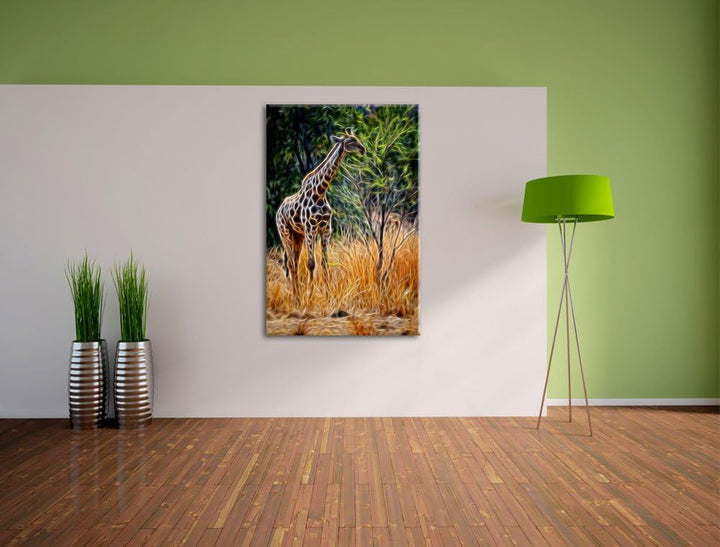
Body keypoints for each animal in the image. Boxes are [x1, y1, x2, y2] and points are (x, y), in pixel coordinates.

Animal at [275, 128, 365, 295]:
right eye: (350, 142)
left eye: (356, 139)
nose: (363, 149)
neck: (320, 192)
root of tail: (279, 210)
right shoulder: (310, 229)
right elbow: (311, 263)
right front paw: (311, 294)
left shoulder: (325, 229)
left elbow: (324, 262)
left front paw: (328, 292)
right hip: (285, 234)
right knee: (290, 263)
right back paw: (296, 294)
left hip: (298, 236)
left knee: (294, 262)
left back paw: (297, 293)